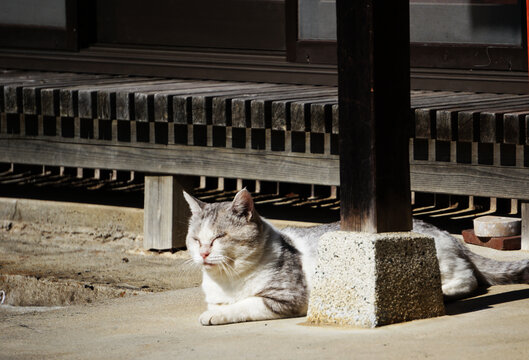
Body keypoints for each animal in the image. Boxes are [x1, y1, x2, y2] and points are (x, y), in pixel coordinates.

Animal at [183, 188, 528, 326]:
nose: (203, 252)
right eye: (195, 239)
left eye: (219, 238)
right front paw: (215, 310)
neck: (229, 280)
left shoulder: (286, 298)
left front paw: (215, 315)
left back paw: (444, 292)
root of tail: (440, 229)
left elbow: (244, 305)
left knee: (468, 279)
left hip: (442, 262)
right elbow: (221, 304)